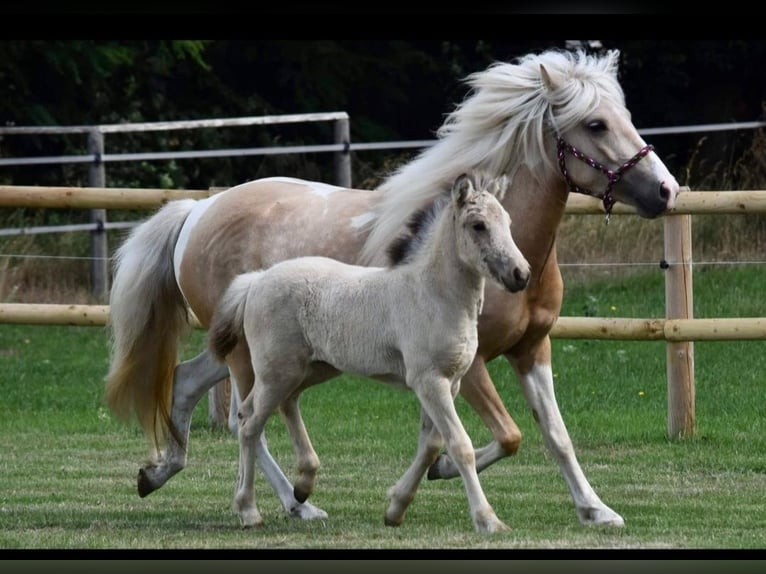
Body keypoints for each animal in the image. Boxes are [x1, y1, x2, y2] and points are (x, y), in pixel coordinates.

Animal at [207, 173, 530, 532]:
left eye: (508, 222)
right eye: (478, 225)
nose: (521, 274)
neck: (432, 295)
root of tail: (257, 280)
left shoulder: (450, 383)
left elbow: (430, 446)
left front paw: (395, 508)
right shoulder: (430, 381)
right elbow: (460, 445)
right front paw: (488, 520)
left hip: (310, 369)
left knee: (279, 405)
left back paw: (303, 485)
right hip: (276, 371)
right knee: (251, 425)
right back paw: (249, 510)